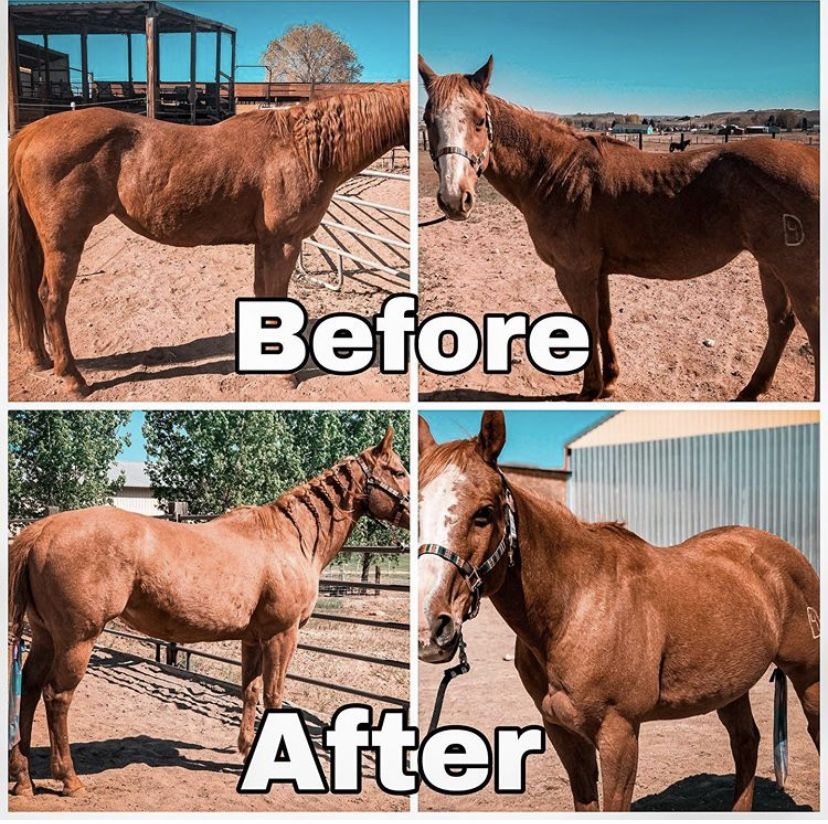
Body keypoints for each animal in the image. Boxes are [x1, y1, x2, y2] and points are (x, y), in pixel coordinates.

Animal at [8, 428, 409, 798]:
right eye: (398, 471)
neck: (290, 539)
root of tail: (42, 530)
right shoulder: (283, 634)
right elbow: (274, 695)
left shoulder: (253, 638)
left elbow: (249, 691)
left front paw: (247, 750)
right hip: (77, 640)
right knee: (56, 697)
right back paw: (69, 779)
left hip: (45, 636)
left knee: (29, 688)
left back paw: (24, 778)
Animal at [9, 83, 409, 396]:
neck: (302, 148)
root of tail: (31, 133)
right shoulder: (284, 242)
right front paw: (285, 376)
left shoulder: (266, 243)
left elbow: (263, 296)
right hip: (65, 241)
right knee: (52, 298)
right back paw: (73, 379)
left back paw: (42, 359)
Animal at [417, 411, 819, 812]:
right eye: (414, 509)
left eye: (484, 513)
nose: (431, 630)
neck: (575, 607)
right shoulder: (562, 732)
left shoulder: (619, 734)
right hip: (731, 686)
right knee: (746, 741)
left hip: (808, 676)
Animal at [418, 56, 819, 401]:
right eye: (427, 120)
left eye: (479, 120)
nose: (454, 198)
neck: (555, 171)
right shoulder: (597, 271)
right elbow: (603, 320)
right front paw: (609, 380)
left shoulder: (573, 272)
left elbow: (586, 323)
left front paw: (589, 389)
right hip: (770, 266)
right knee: (781, 322)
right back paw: (752, 389)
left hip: (795, 274)